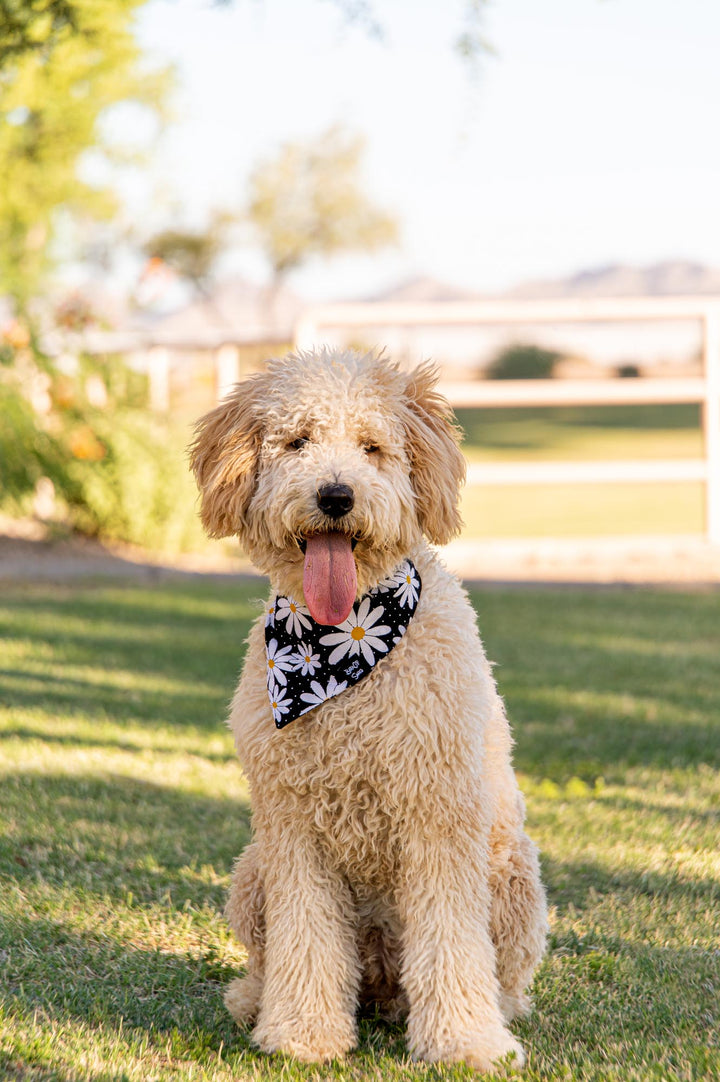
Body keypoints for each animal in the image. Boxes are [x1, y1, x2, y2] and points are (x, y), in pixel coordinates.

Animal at [190, 348, 545, 1073]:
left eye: (373, 448)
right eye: (297, 441)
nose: (336, 496)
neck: (343, 647)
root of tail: (382, 981)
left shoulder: (439, 815)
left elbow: (451, 943)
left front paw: (465, 1043)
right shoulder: (293, 826)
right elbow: (305, 941)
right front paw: (301, 1033)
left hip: (513, 871)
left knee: (498, 973)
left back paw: (493, 1013)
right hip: (254, 869)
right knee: (273, 958)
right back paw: (254, 999)